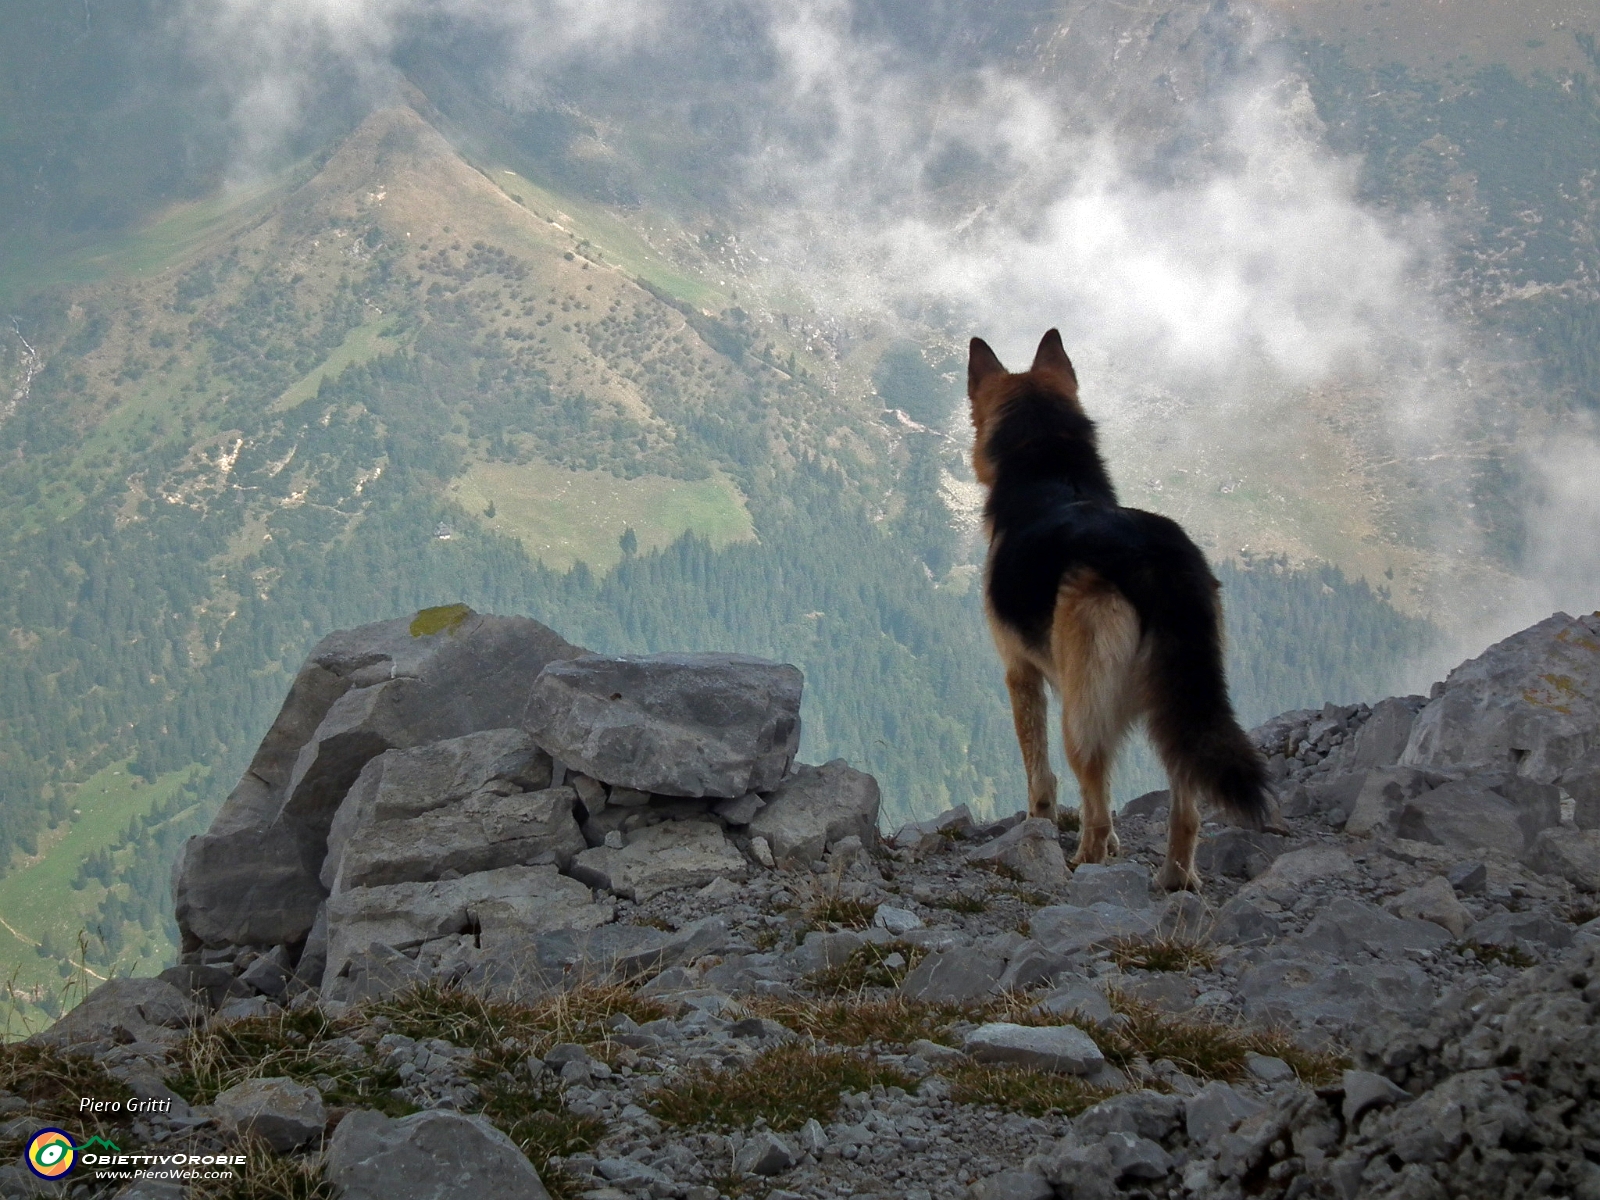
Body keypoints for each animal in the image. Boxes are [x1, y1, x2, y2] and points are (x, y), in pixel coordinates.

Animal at [966, 329, 1267, 896]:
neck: (1051, 469)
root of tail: (1151, 557)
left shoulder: (1021, 675)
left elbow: (1041, 776)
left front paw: (1038, 829)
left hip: (1082, 712)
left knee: (1096, 798)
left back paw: (1083, 864)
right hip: (1176, 700)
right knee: (1185, 810)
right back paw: (1174, 879)